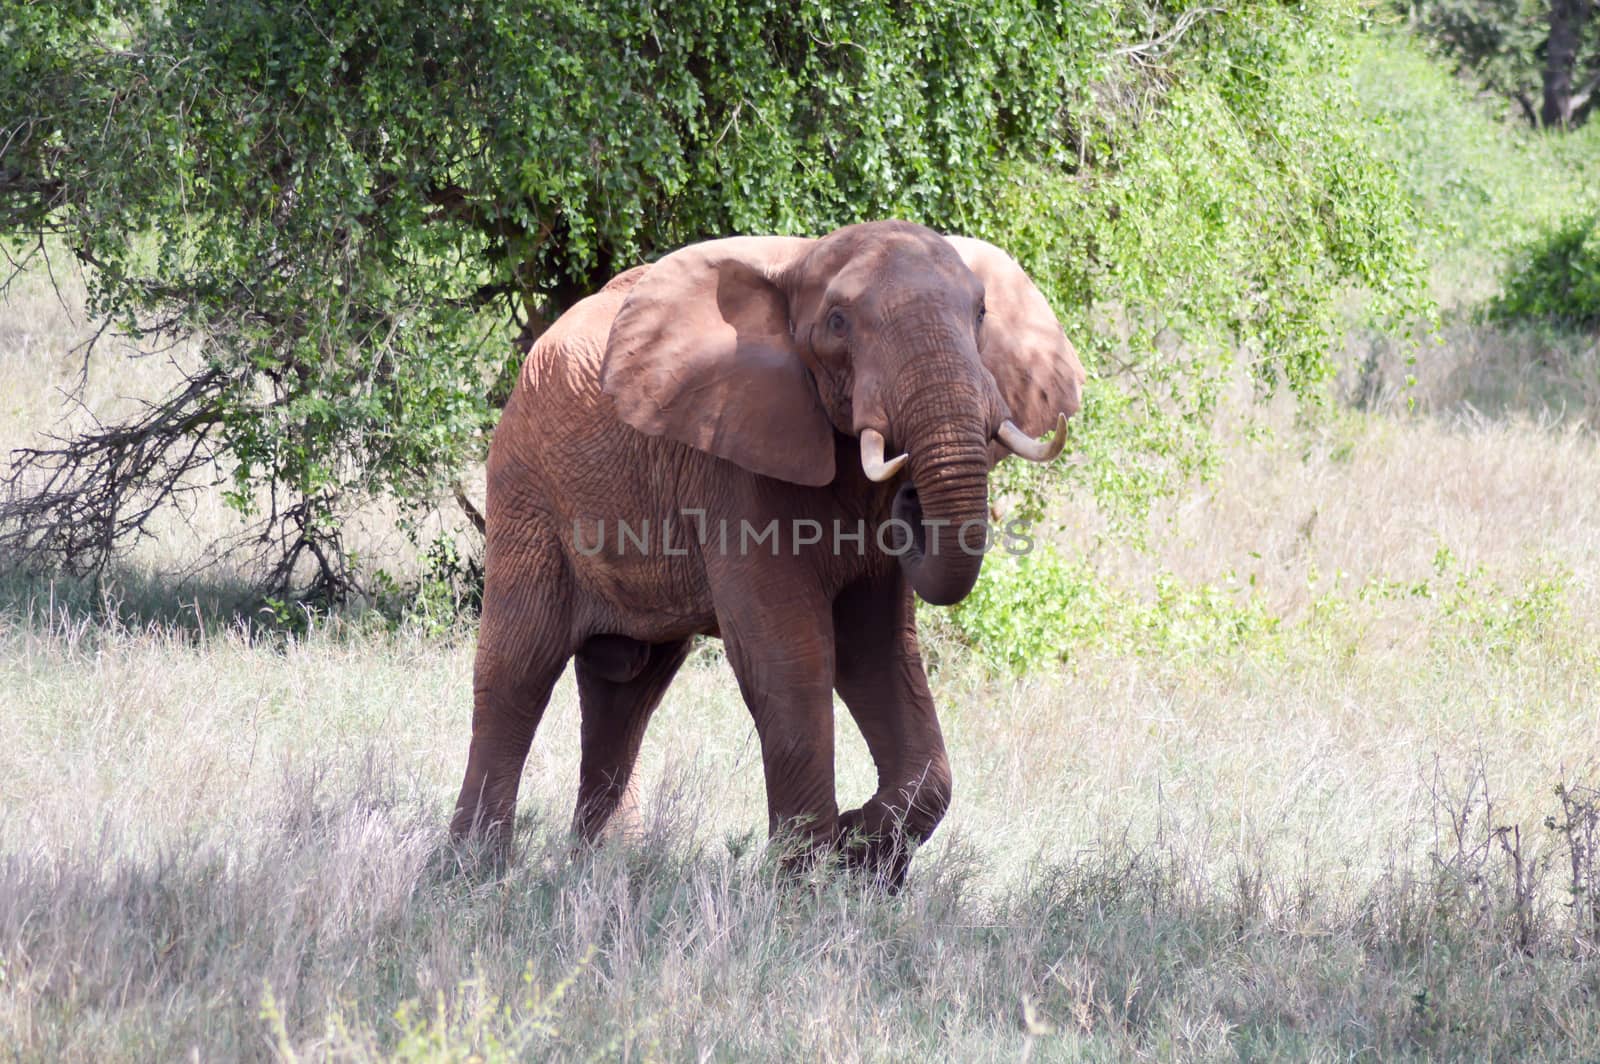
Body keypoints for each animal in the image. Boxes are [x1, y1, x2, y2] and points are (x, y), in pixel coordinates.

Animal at [451, 217, 1088, 889]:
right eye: (837, 321)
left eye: (981, 313)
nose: (910, 489)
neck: (803, 261)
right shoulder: (734, 460)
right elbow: (790, 656)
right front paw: (806, 882)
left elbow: (877, 653)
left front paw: (861, 860)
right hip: (526, 488)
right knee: (519, 668)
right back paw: (471, 871)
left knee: (627, 686)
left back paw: (606, 869)